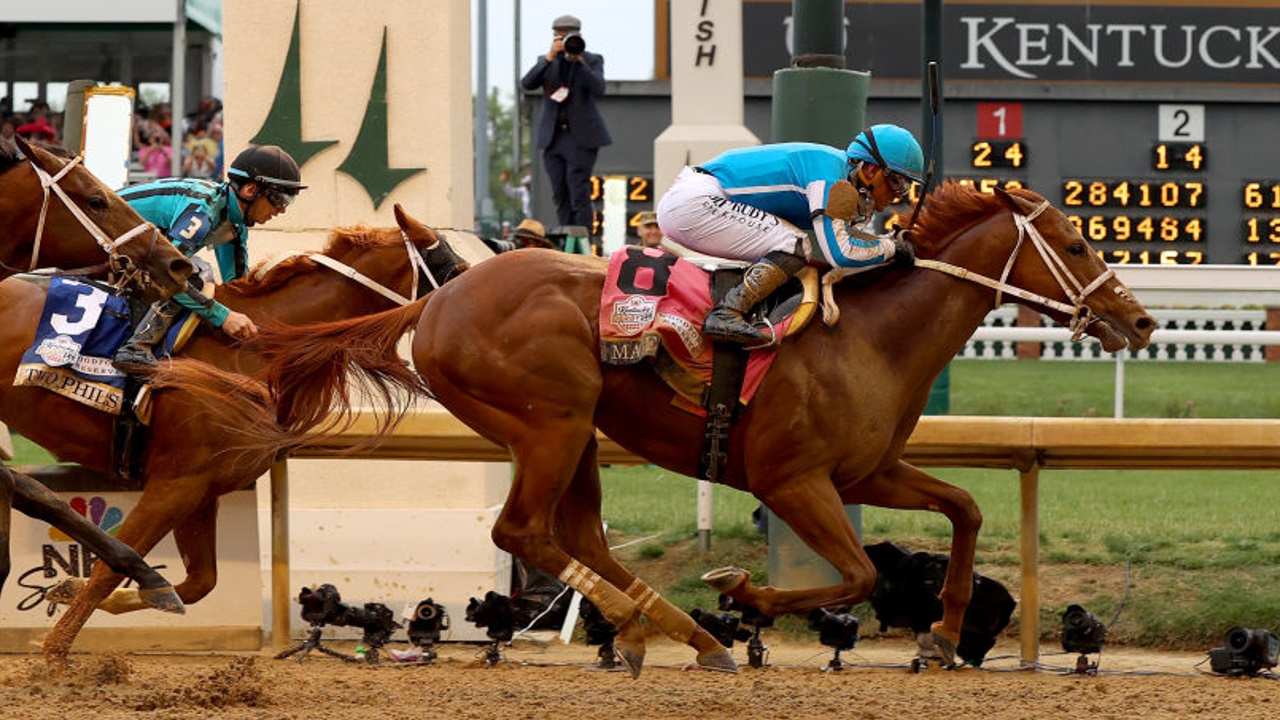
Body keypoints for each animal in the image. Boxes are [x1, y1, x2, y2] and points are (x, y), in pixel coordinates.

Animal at [5, 204, 468, 661]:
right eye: (458, 268)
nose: (461, 321)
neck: (254, 350)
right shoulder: (174, 484)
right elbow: (110, 567)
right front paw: (54, 648)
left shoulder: (200, 490)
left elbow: (197, 583)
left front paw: (72, 587)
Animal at [401, 180, 1162, 671]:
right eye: (1076, 244)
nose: (1142, 320)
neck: (870, 338)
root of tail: (441, 299)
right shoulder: (792, 481)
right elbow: (857, 575)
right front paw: (745, 596)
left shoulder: (866, 472)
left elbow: (965, 508)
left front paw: (945, 629)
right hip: (549, 425)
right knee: (523, 531)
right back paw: (661, 629)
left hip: (578, 429)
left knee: (581, 535)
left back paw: (681, 637)